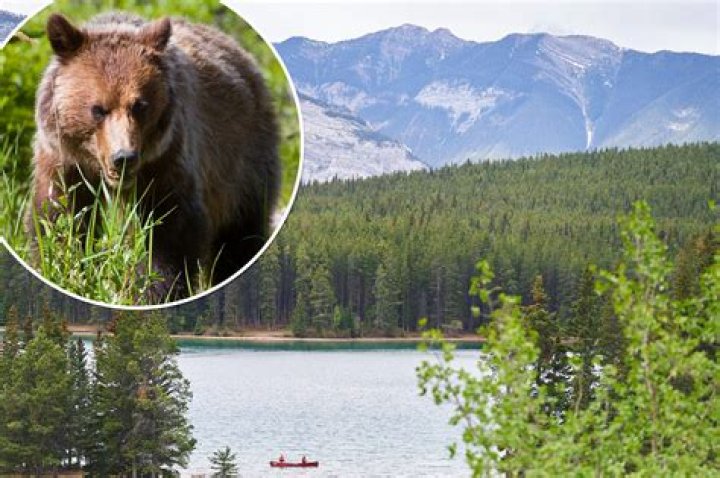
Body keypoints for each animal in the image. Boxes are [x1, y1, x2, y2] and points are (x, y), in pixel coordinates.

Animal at [29, 12, 280, 300]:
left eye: (139, 105)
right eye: (98, 109)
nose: (123, 158)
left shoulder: (167, 158)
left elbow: (168, 230)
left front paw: (156, 288)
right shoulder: (63, 159)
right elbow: (58, 215)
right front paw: (60, 265)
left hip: (241, 162)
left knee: (240, 235)